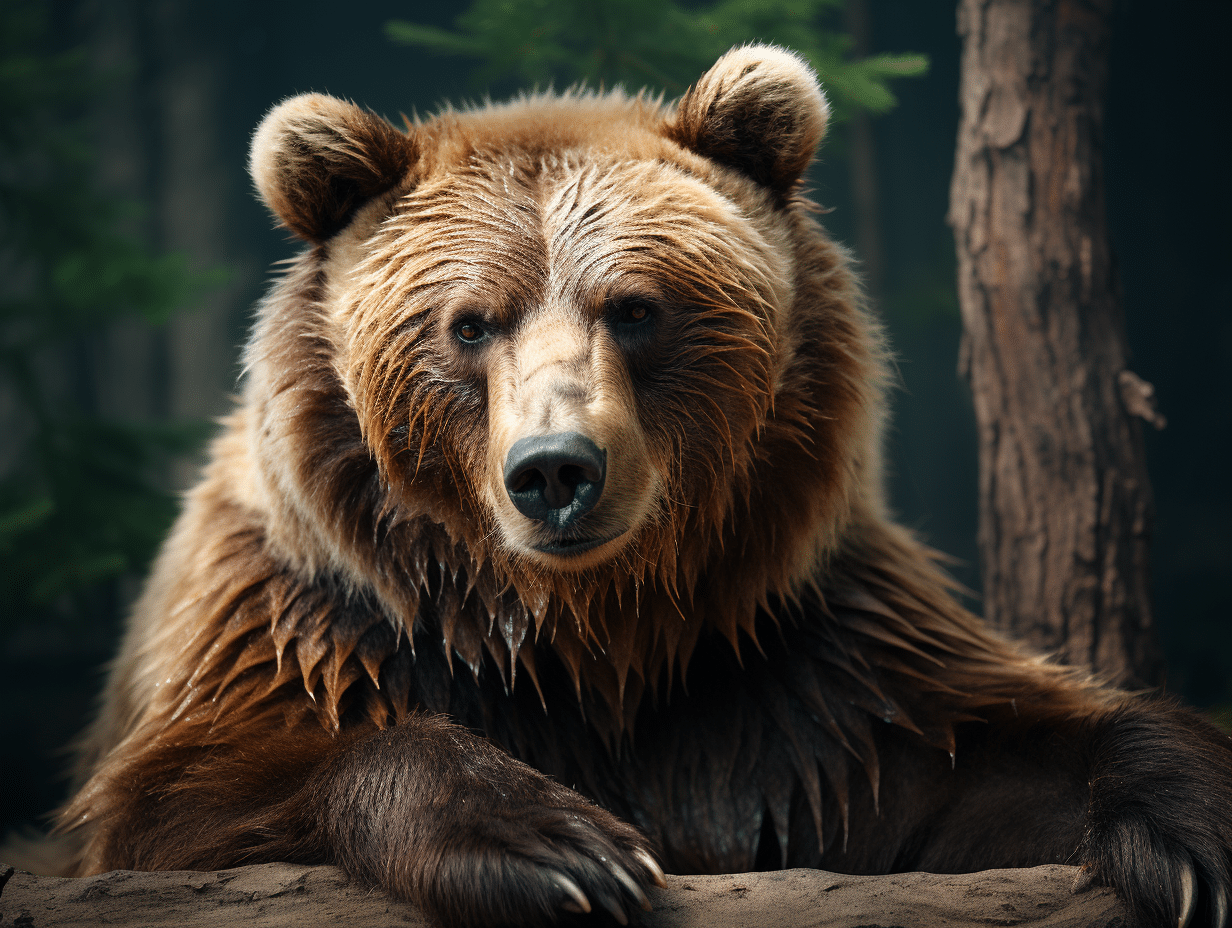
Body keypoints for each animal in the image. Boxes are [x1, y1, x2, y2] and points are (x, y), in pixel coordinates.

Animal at [42, 45, 1232, 928]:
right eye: (469, 323)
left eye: (636, 306)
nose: (555, 470)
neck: (593, 634)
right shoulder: (315, 620)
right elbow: (198, 791)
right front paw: (559, 846)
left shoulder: (781, 656)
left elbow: (986, 745)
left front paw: (1191, 836)